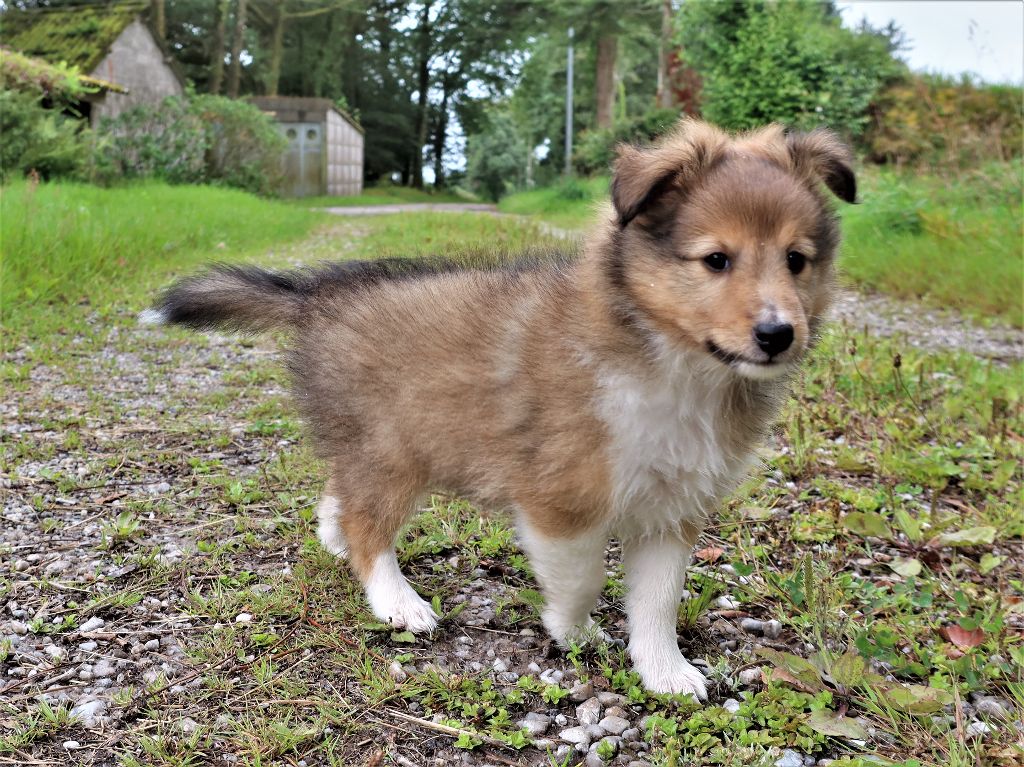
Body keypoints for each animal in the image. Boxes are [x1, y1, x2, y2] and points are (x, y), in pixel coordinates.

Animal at [141, 119, 855, 699]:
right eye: (716, 259)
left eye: (797, 260)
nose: (778, 334)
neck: (672, 362)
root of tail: (315, 294)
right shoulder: (559, 499)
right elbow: (583, 577)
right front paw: (573, 631)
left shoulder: (673, 509)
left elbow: (657, 601)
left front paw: (666, 673)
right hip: (392, 450)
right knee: (370, 527)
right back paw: (399, 603)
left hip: (374, 446)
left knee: (341, 495)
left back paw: (334, 537)